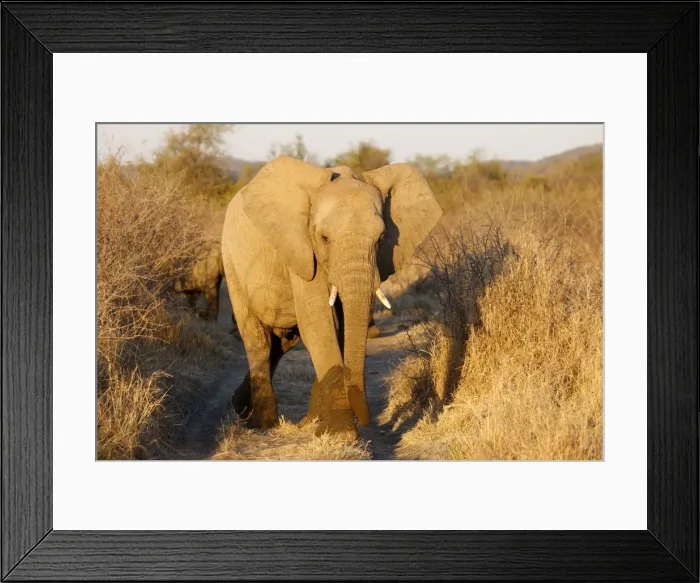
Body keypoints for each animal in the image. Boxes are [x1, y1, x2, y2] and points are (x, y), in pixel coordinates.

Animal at [222, 155, 442, 438]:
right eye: (324, 238)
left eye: (381, 238)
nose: (367, 421)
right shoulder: (303, 250)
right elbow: (318, 322)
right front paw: (341, 433)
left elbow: (340, 327)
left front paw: (318, 424)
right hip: (232, 264)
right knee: (258, 340)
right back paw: (261, 423)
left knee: (281, 344)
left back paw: (242, 407)